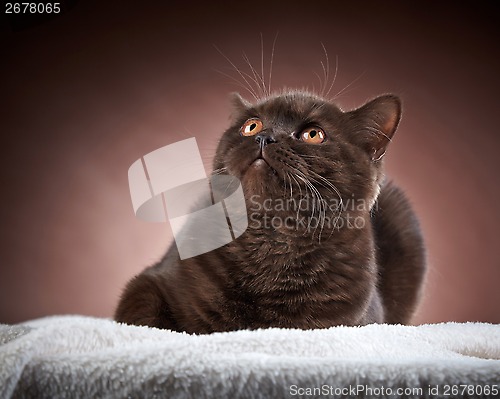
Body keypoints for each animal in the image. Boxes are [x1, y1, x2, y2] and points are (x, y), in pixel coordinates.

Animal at [116, 90, 426, 334]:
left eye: (313, 134)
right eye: (251, 126)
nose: (265, 137)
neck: (271, 239)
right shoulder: (148, 283)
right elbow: (144, 318)